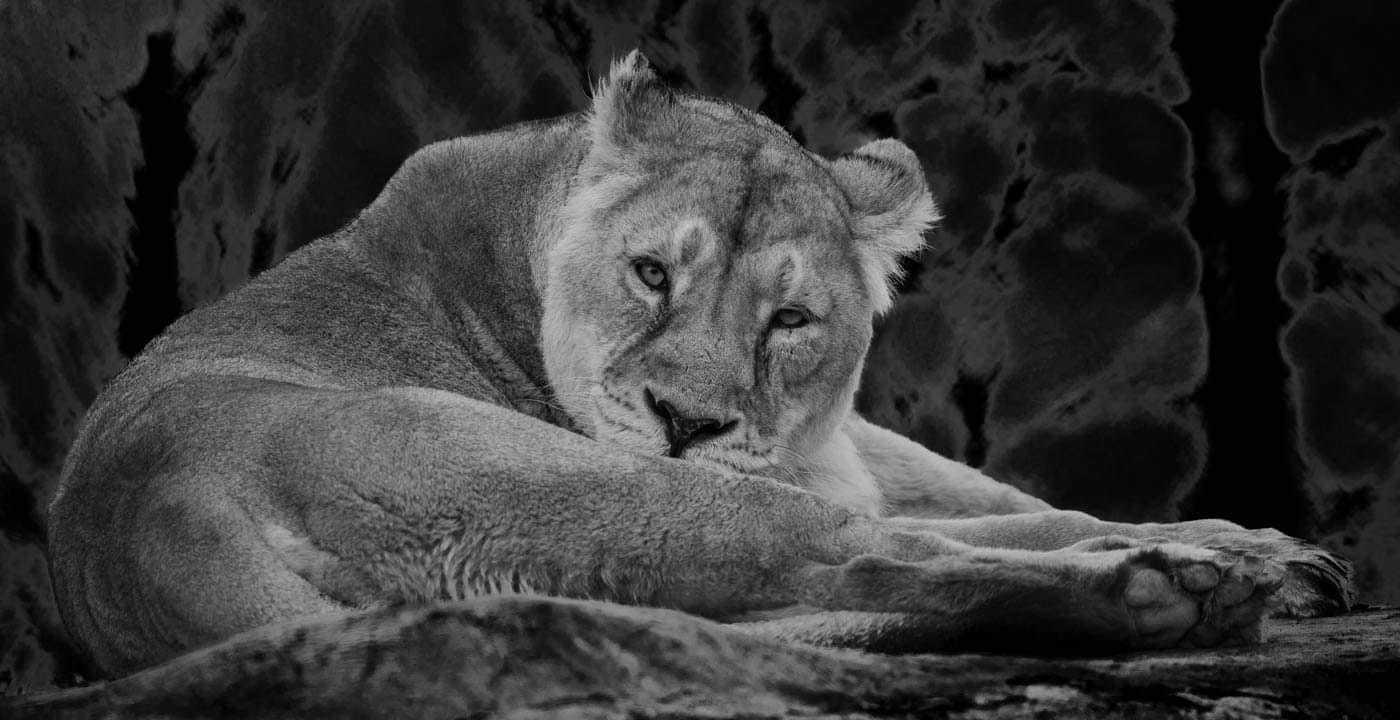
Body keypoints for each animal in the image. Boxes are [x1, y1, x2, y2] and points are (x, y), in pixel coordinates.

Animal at [49, 53, 1349, 675]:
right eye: (649, 274)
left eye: (789, 321)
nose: (686, 420)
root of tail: (165, 528)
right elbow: (964, 521)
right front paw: (1230, 555)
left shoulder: (852, 443)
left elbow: (1005, 497)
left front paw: (1261, 544)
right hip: (596, 491)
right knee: (871, 562)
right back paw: (1164, 592)